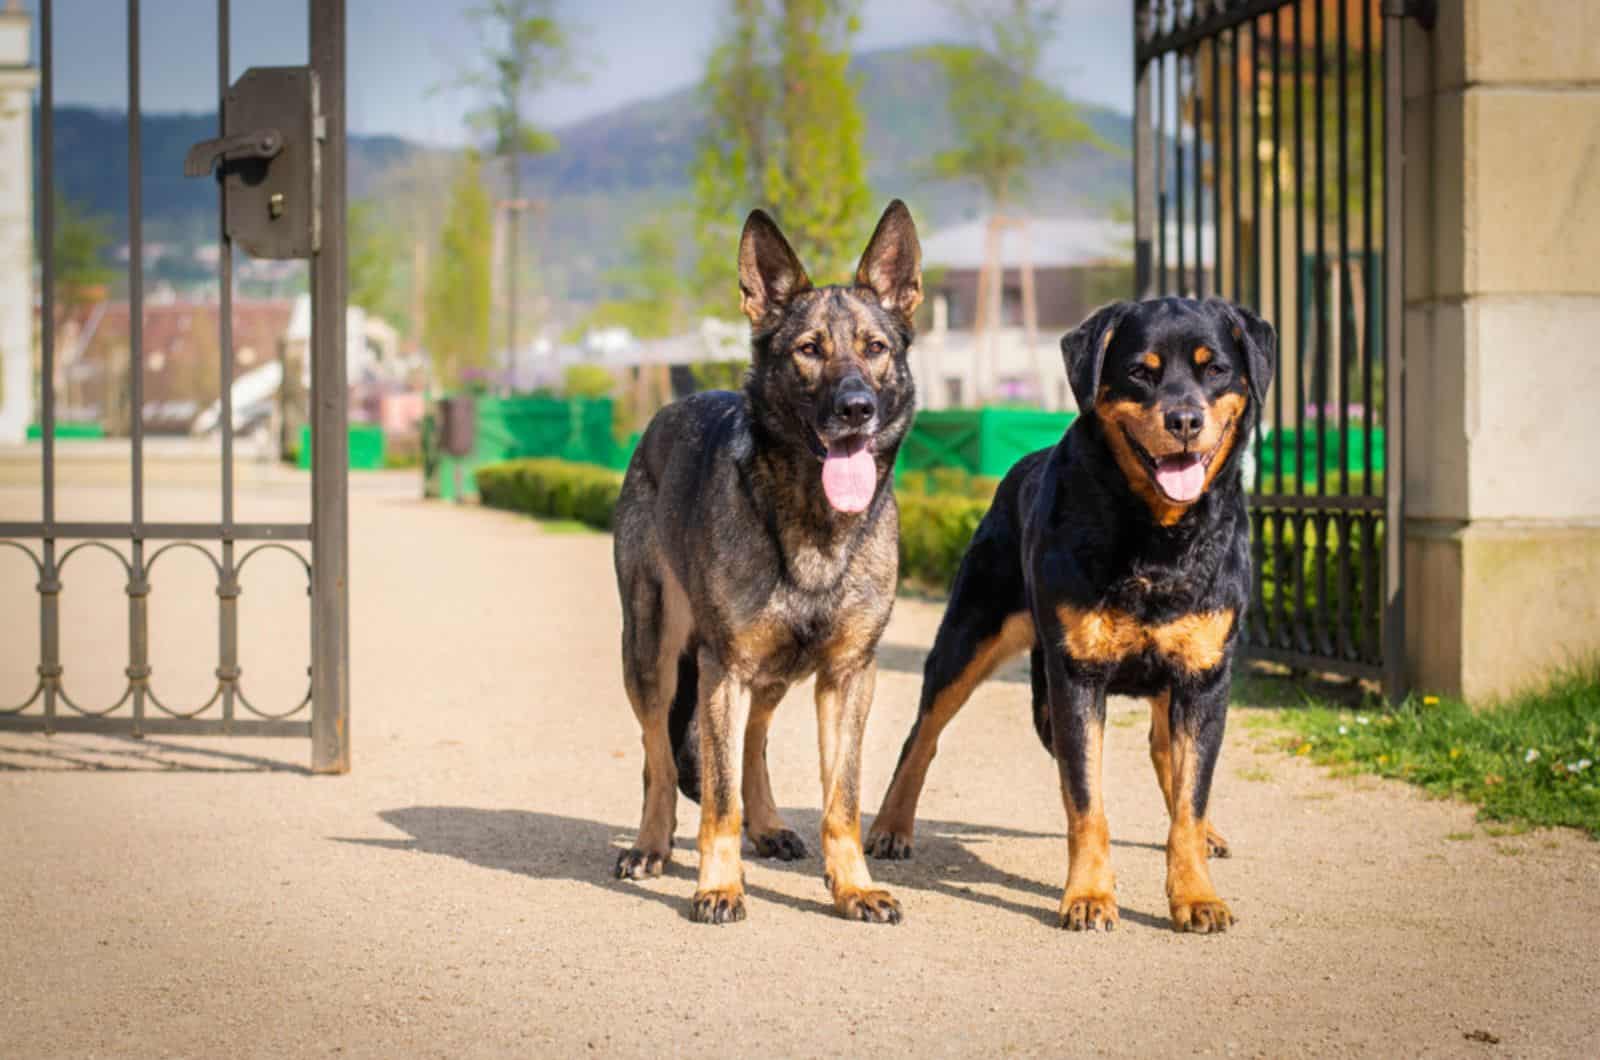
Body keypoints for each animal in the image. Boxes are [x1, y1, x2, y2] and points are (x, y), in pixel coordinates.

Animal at [614, 201, 928, 928]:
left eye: (875, 349)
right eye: (809, 350)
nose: (855, 410)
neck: (815, 521)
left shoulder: (848, 676)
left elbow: (842, 799)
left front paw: (852, 887)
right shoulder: (721, 669)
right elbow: (717, 797)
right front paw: (718, 886)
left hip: (770, 671)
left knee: (752, 739)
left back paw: (768, 825)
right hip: (652, 654)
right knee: (658, 758)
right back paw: (649, 845)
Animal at [857, 294, 1280, 935]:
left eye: (1216, 370)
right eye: (1140, 372)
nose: (1184, 419)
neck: (1157, 536)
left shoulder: (1205, 676)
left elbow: (1191, 793)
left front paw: (1196, 894)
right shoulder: (1075, 676)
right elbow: (1085, 799)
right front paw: (1088, 895)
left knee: (1167, 752)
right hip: (970, 634)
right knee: (923, 734)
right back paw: (890, 826)